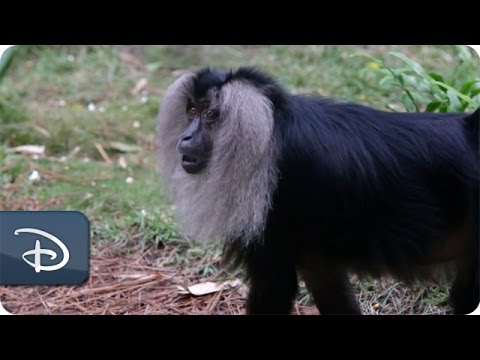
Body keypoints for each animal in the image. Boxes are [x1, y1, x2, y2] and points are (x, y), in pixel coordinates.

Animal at [156, 67, 478, 316]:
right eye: (193, 111)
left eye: (211, 114)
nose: (186, 137)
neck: (270, 133)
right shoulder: (317, 256)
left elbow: (275, 286)